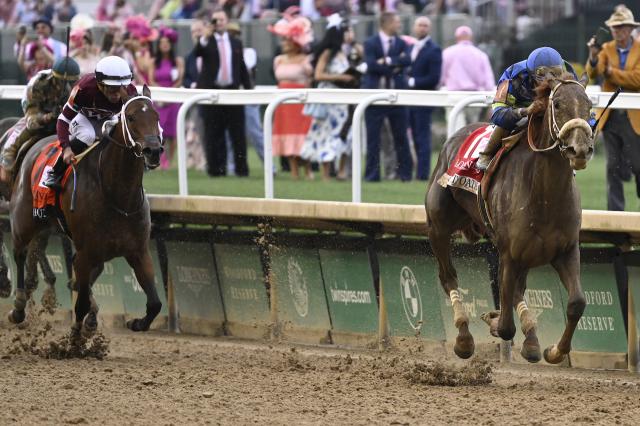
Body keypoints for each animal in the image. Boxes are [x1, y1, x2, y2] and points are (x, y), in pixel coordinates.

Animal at [8, 85, 162, 336]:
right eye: (131, 117)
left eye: (156, 117)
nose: (153, 151)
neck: (118, 196)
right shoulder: (86, 252)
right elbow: (79, 303)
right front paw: (76, 337)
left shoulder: (138, 251)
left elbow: (155, 303)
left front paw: (136, 323)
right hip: (23, 221)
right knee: (20, 253)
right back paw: (19, 307)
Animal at [424, 73, 596, 362]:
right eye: (557, 104)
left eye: (590, 105)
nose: (580, 150)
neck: (545, 195)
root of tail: (453, 138)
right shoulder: (510, 253)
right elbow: (505, 326)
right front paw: (494, 321)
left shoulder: (566, 250)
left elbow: (576, 303)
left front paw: (554, 351)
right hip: (438, 227)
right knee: (448, 277)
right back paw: (464, 338)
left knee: (517, 291)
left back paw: (532, 341)